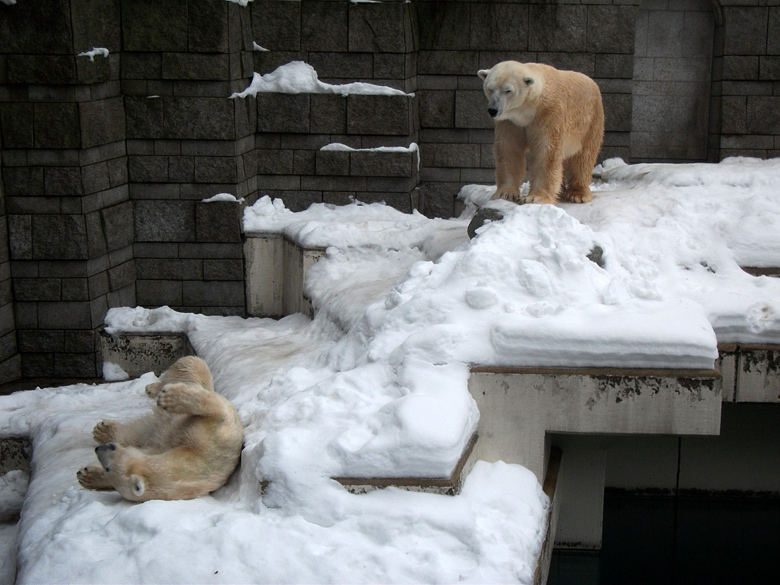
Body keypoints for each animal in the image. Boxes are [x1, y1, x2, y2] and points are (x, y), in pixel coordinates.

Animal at [76, 356, 242, 502]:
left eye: (108, 468)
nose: (99, 449)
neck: (200, 459)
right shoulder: (214, 431)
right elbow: (215, 409)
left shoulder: (215, 439)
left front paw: (87, 476)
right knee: (191, 364)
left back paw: (103, 431)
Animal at [478, 61, 608, 205]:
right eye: (490, 89)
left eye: (508, 90)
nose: (493, 110)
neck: (527, 111)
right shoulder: (511, 122)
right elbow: (509, 149)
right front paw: (505, 193)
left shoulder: (548, 113)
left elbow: (546, 151)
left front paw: (535, 197)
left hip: (590, 121)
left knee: (583, 157)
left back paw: (578, 194)